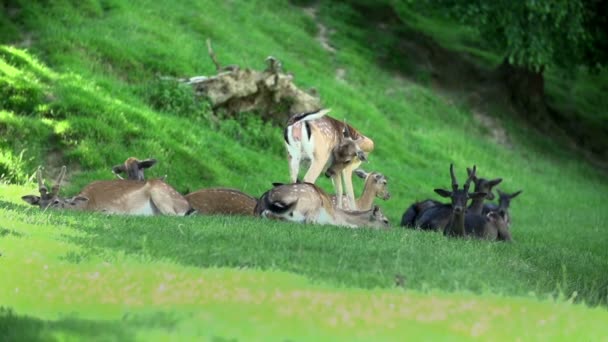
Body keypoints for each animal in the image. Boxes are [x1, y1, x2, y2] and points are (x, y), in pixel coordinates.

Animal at [22, 166, 192, 216]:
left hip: (161, 194)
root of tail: (186, 204)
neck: (86, 205)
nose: (43, 212)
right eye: (39, 202)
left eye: (56, 202)